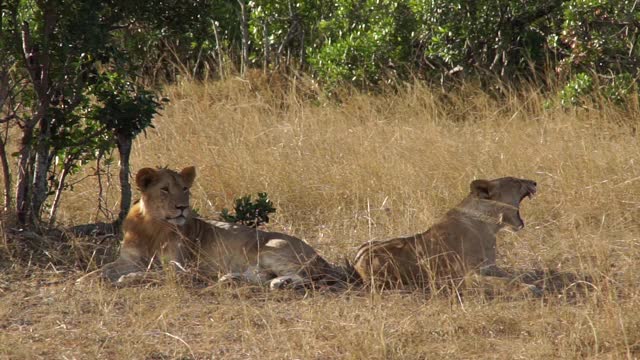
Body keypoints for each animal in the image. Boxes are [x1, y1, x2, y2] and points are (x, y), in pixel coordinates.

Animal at [101, 166, 340, 290]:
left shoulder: (181, 270)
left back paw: (282, 282)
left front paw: (128, 279)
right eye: (165, 189)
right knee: (260, 276)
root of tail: (320, 256)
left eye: (185, 188)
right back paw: (230, 279)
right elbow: (103, 269)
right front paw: (93, 278)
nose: (182, 207)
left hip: (271, 247)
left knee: (304, 276)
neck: (152, 225)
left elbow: (151, 274)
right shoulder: (128, 259)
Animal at [352, 176, 544, 296]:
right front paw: (530, 288)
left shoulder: (489, 267)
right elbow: (504, 282)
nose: (535, 182)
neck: (490, 225)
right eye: (515, 181)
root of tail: (356, 259)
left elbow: (511, 276)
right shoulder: (466, 276)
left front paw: (533, 282)